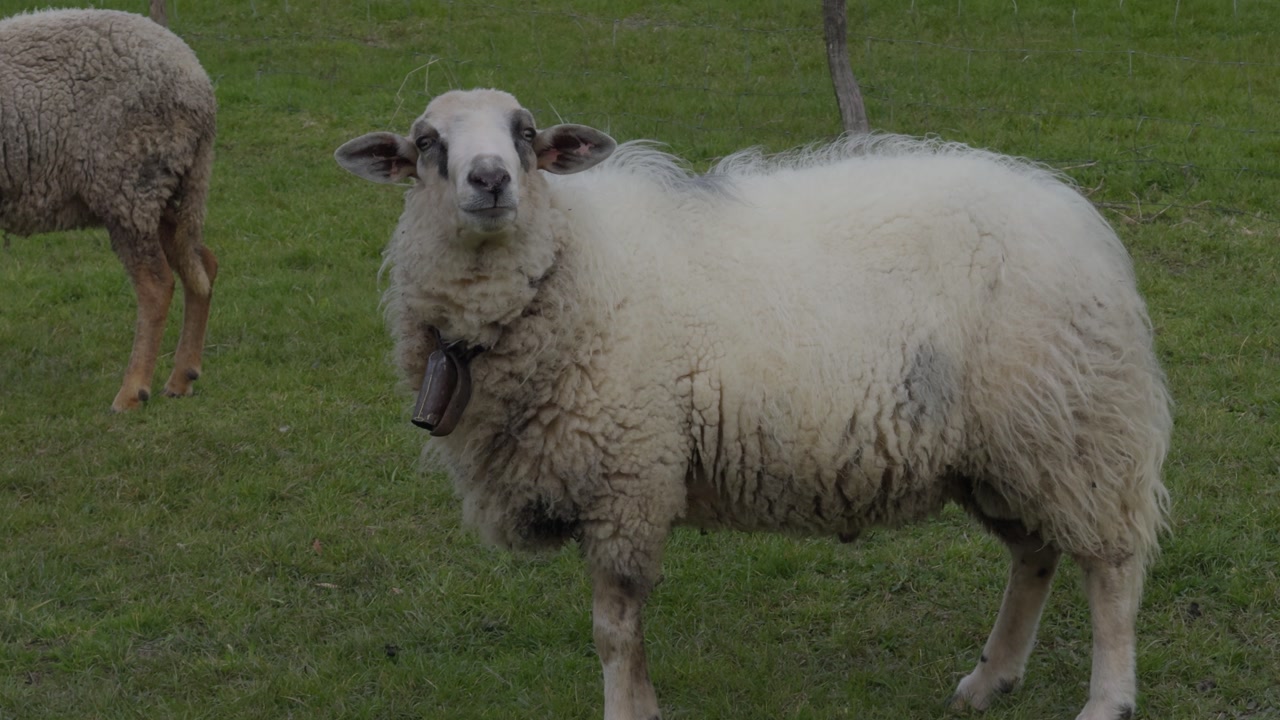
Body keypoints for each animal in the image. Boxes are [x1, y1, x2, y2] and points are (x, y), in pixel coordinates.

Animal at [0, 9, 218, 411]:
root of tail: (197, 78)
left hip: (130, 184)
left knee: (157, 284)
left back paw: (132, 392)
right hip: (166, 189)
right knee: (203, 265)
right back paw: (181, 377)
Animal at [335, 88, 1172, 720]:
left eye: (526, 134)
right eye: (428, 141)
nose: (489, 179)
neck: (572, 264)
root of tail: (1077, 214)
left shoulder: (628, 476)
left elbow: (614, 628)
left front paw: (626, 710)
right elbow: (629, 633)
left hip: (1079, 430)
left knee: (1111, 567)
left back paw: (1107, 699)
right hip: (1006, 445)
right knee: (1036, 554)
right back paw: (989, 680)